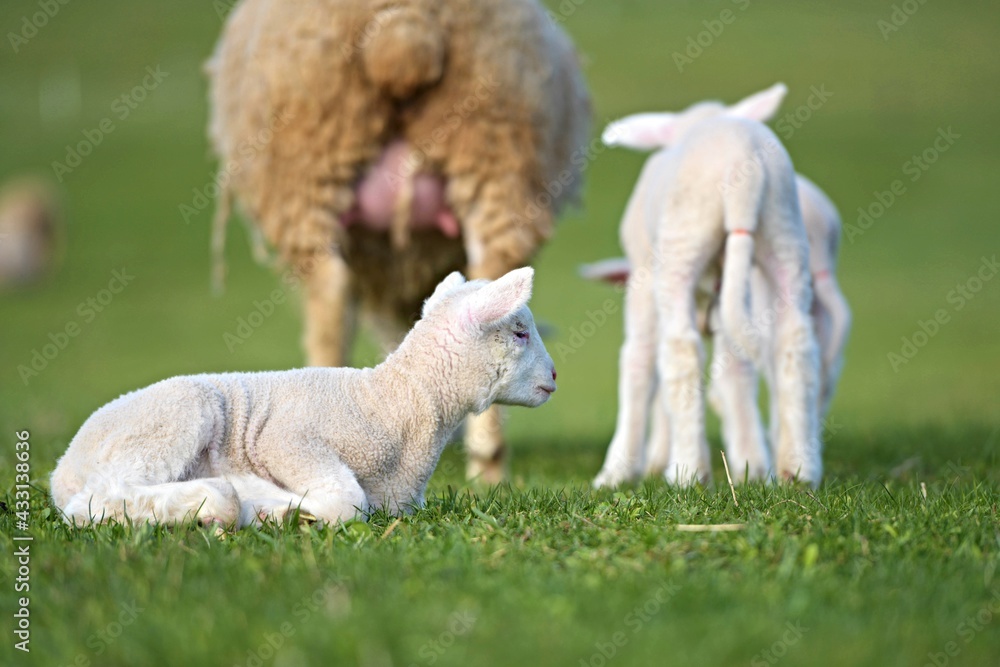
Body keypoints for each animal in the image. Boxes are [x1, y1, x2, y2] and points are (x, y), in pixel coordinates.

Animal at [50, 268, 557, 527]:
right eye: (519, 331)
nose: (554, 376)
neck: (397, 401)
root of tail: (63, 468)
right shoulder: (288, 439)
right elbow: (347, 503)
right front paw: (270, 504)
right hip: (173, 418)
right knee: (96, 501)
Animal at [590, 83, 823, 488]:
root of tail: (743, 164)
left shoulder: (642, 273)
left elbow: (638, 361)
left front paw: (616, 471)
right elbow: (735, 374)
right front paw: (749, 466)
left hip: (681, 244)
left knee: (680, 349)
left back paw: (687, 470)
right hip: (785, 234)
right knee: (794, 344)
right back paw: (797, 470)